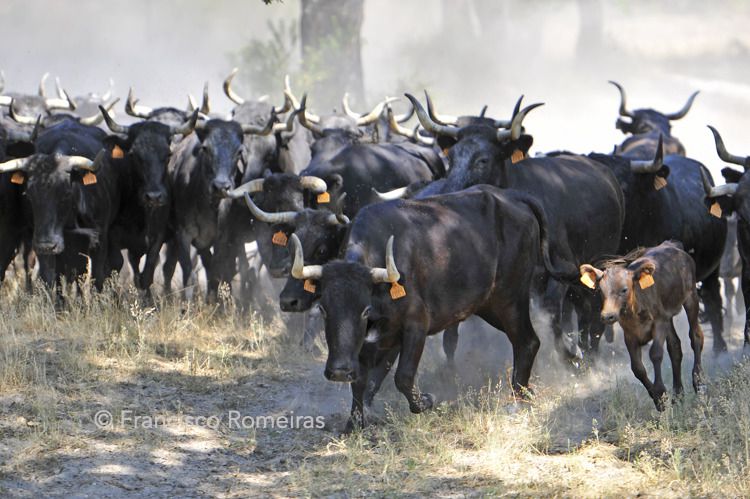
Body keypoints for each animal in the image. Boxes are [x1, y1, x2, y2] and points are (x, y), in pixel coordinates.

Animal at [286, 184, 578, 430]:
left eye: (364, 310)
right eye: (324, 309)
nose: (338, 372)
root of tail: (513, 196)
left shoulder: (416, 325)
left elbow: (402, 377)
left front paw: (426, 401)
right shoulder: (382, 338)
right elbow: (365, 379)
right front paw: (355, 421)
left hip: (510, 299)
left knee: (527, 342)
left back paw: (518, 401)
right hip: (489, 305)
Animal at [579, 241, 704, 410]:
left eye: (624, 289)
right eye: (600, 290)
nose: (607, 315)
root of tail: (671, 245)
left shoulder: (659, 323)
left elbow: (656, 353)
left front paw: (660, 392)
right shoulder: (630, 334)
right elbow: (637, 368)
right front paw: (658, 399)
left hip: (691, 297)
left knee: (695, 336)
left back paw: (699, 382)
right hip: (668, 317)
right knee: (675, 347)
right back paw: (678, 395)